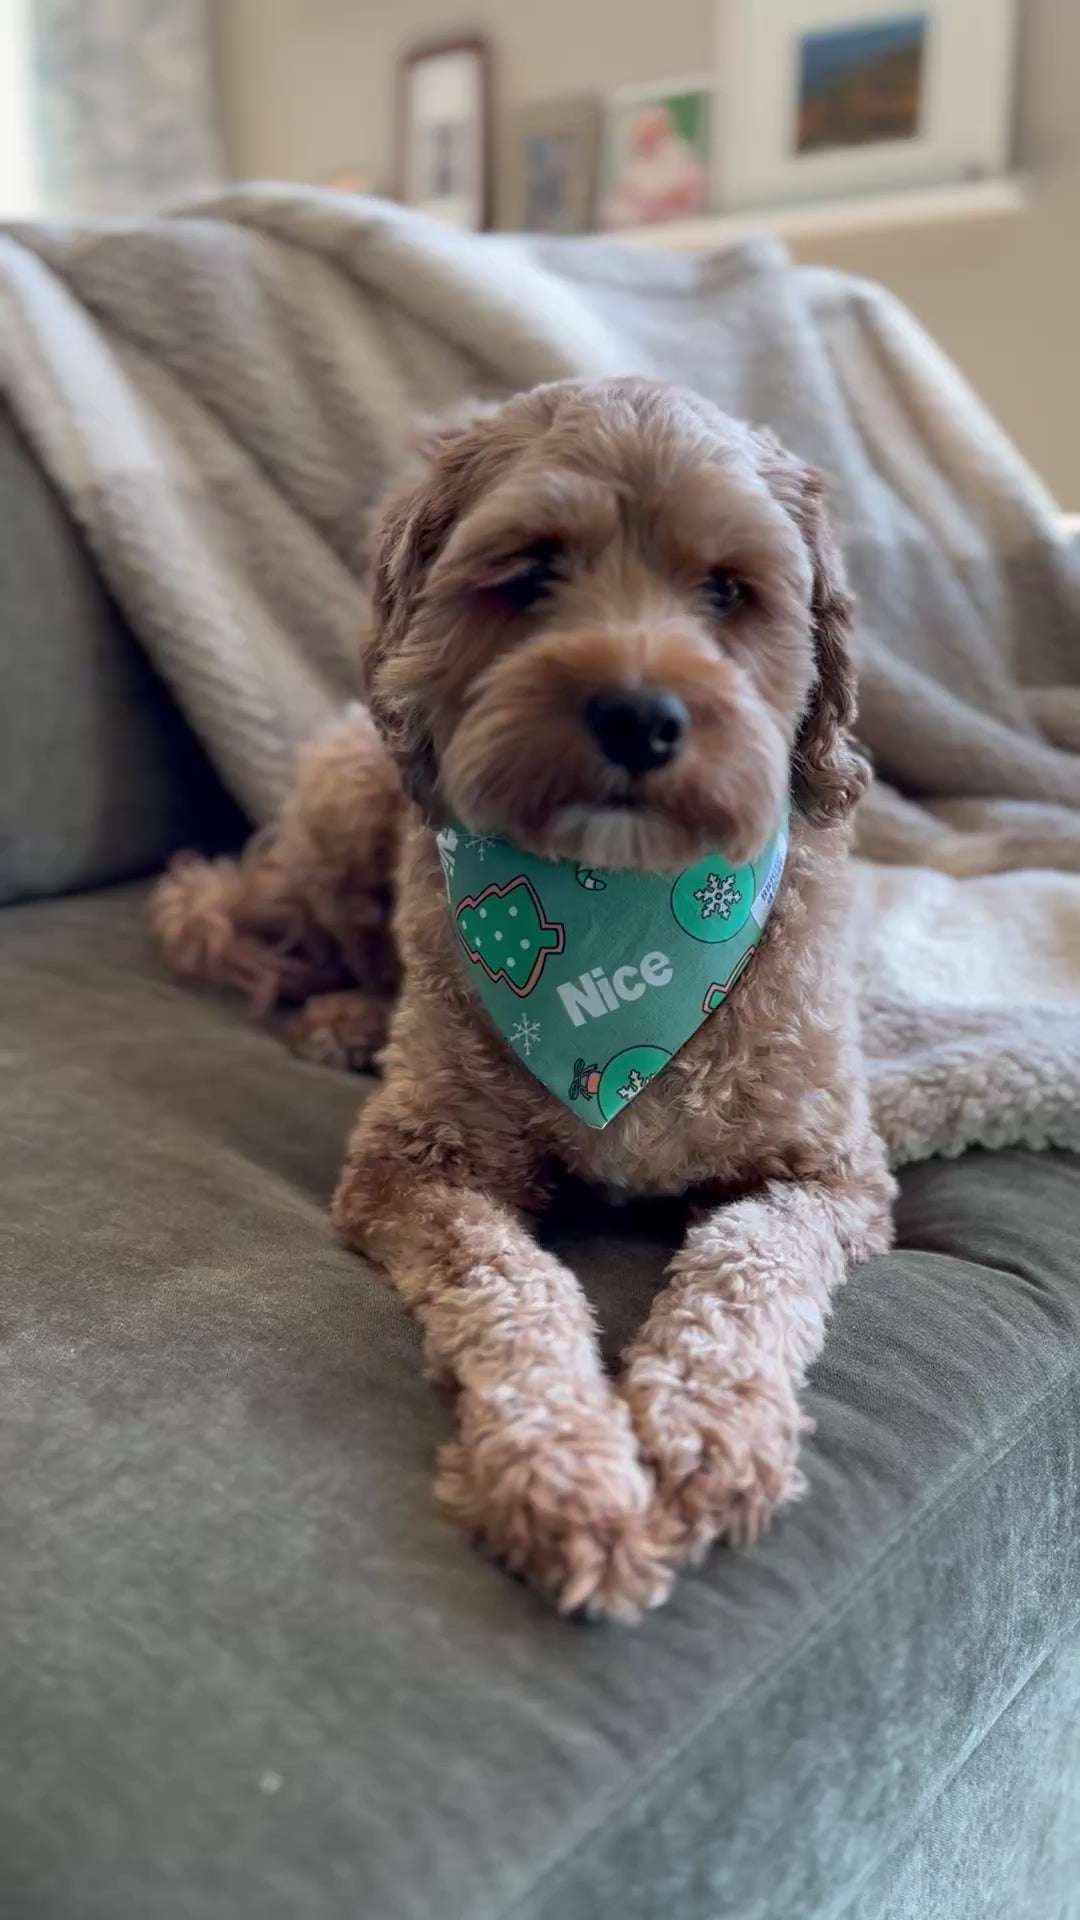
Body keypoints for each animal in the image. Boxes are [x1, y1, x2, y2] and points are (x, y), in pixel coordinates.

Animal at [151, 378, 891, 1620]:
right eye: (533, 571)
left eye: (729, 589)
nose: (639, 715)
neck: (617, 928)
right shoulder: (417, 1164)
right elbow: (511, 1289)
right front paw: (565, 1472)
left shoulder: (826, 1172)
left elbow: (747, 1269)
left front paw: (706, 1437)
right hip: (347, 796)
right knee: (303, 934)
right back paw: (343, 1017)